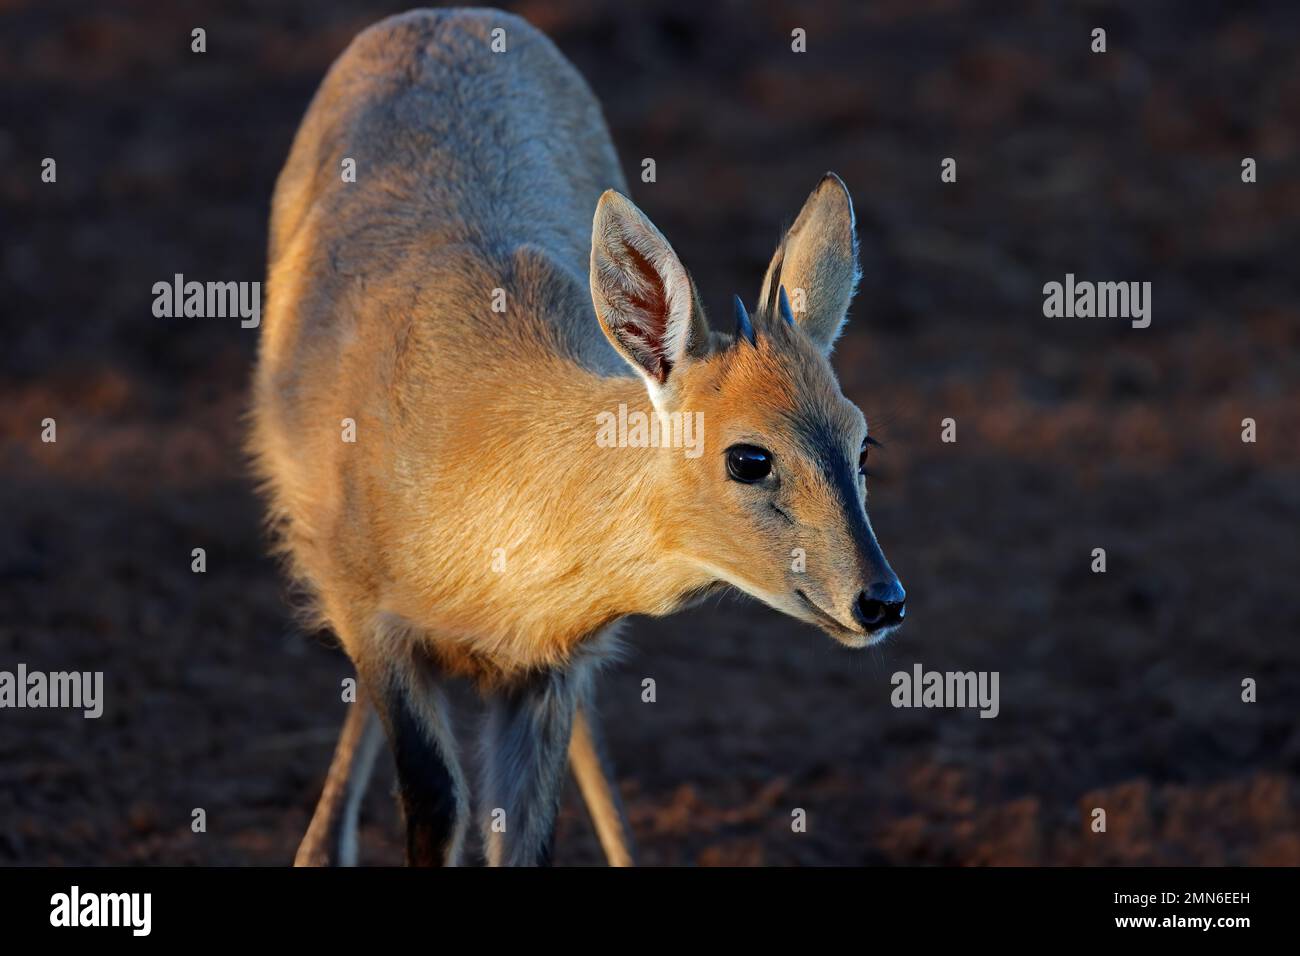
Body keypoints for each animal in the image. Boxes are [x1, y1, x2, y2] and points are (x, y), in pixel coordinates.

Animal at [253, 7, 904, 868]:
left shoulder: (549, 666)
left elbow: (526, 833)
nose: (881, 599)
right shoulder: (371, 614)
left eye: (865, 447)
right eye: (748, 457)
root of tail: (440, 18)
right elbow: (436, 802)